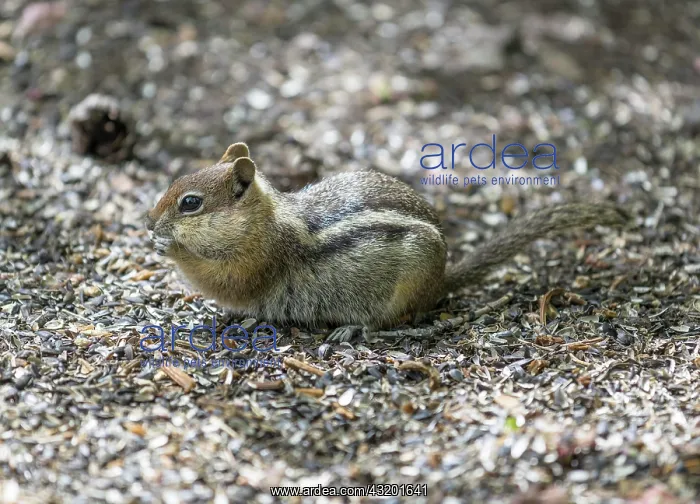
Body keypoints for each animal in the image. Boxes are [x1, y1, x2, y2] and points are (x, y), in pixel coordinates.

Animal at [146, 142, 628, 330]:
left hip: (406, 287)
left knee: (400, 317)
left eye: (190, 203)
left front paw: (171, 248)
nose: (150, 223)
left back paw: (356, 329)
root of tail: (441, 277)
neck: (264, 220)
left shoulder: (256, 262)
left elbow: (224, 282)